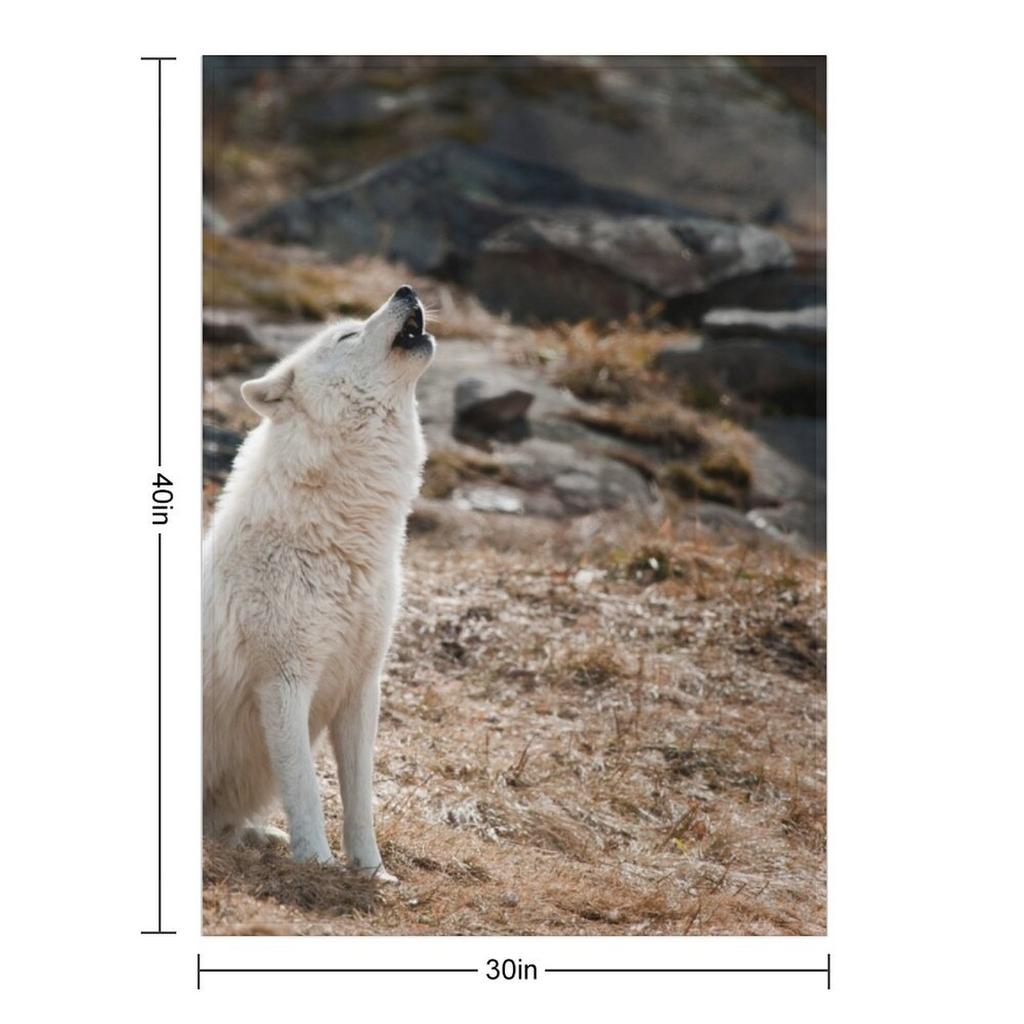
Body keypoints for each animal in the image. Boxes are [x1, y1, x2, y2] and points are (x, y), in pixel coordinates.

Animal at [203, 285, 434, 876]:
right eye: (347, 336)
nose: (406, 290)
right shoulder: (283, 682)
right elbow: (305, 786)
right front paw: (318, 863)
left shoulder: (362, 685)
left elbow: (359, 797)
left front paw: (371, 871)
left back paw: (259, 837)